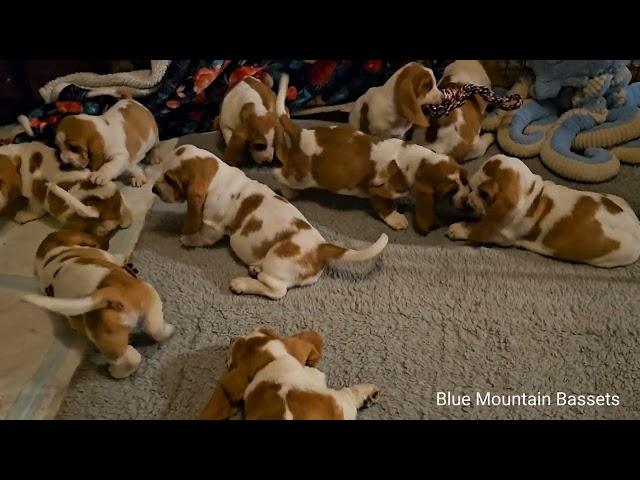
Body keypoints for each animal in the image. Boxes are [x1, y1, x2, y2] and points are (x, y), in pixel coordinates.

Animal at [21, 229, 175, 378]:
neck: (51, 255)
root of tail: (109, 292)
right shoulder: (105, 255)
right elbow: (115, 257)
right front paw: (122, 258)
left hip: (126, 320)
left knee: (153, 330)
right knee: (132, 356)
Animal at [152, 143, 388, 300]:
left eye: (169, 179)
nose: (153, 189)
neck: (217, 177)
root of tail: (321, 248)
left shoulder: (212, 227)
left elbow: (201, 236)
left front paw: (187, 239)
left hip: (277, 258)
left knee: (276, 290)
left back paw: (243, 283)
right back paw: (255, 268)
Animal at [448, 154, 640, 268]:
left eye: (483, 194)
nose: (468, 200)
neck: (531, 194)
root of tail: (636, 227)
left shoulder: (497, 234)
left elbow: (476, 229)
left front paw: (457, 228)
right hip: (617, 199)